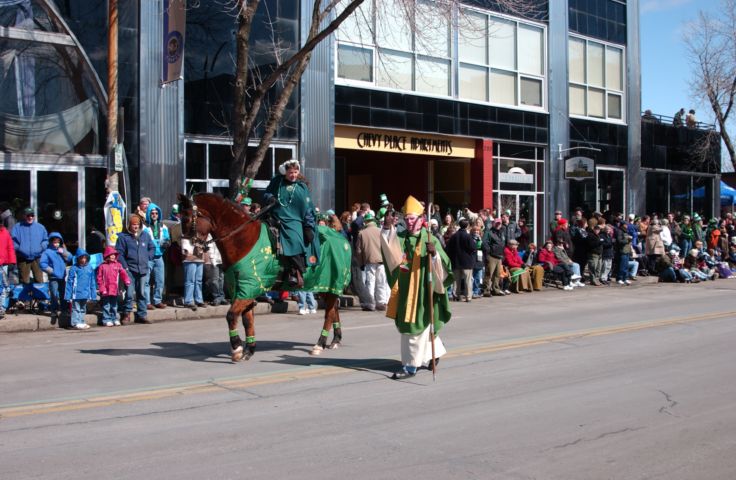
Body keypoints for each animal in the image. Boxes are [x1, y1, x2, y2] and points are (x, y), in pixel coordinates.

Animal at [177, 193, 352, 362]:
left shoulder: (250, 287)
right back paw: (335, 340)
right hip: (324, 285)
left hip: (330, 282)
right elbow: (247, 320)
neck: (244, 240)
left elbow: (231, 315)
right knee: (333, 309)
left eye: (186, 219)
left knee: (329, 313)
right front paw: (249, 349)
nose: (185, 251)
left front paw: (237, 348)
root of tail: (343, 239)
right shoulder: (242, 289)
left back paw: (319, 344)